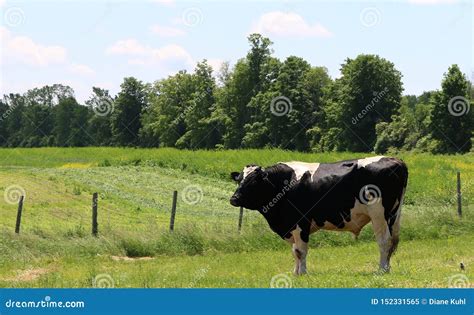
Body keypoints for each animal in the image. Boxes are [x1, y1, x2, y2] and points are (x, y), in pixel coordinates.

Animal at [230, 157, 408, 276]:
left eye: (253, 181)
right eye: (239, 180)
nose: (234, 199)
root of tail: (397, 160)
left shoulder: (300, 222)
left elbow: (300, 250)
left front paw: (302, 273)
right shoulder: (290, 225)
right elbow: (294, 251)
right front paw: (295, 272)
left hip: (379, 214)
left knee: (384, 241)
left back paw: (381, 270)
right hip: (394, 215)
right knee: (392, 242)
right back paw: (387, 268)